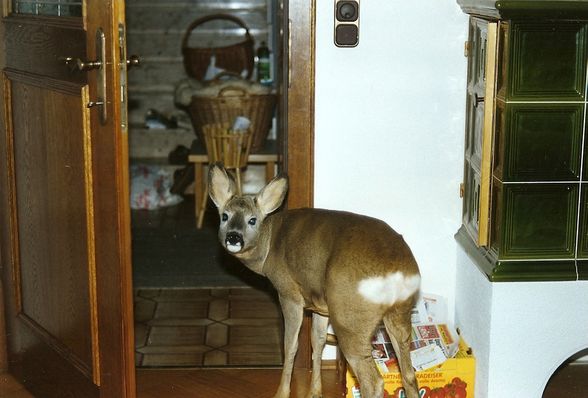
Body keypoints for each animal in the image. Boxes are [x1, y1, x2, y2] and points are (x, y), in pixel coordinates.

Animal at [209, 163, 420, 396]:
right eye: (225, 216)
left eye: (252, 220)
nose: (233, 237)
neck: (268, 246)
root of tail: (397, 272)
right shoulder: (320, 306)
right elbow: (317, 341)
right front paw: (315, 392)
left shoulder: (289, 293)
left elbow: (291, 346)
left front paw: (282, 393)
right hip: (400, 313)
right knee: (409, 373)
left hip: (350, 317)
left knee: (373, 381)